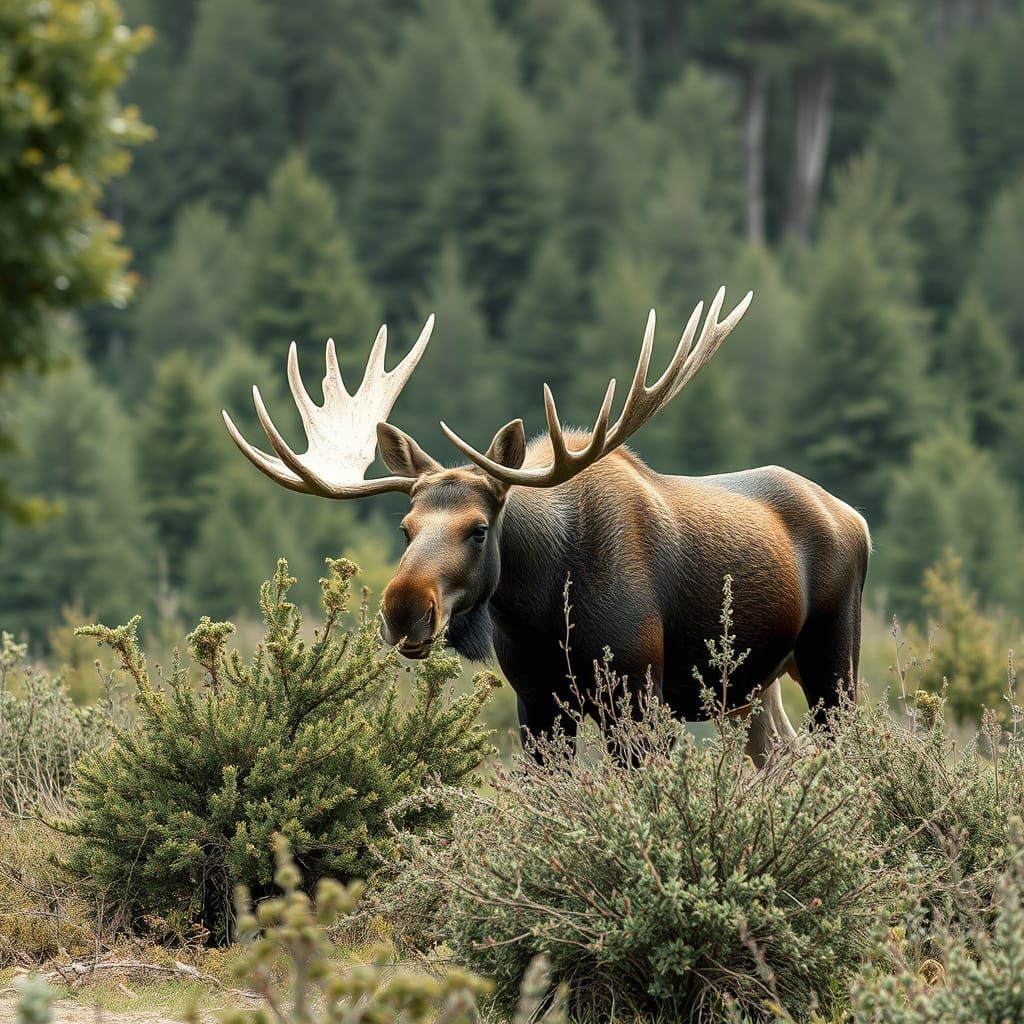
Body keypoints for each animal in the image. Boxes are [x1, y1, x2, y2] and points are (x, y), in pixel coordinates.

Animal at [223, 288, 871, 763]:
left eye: (479, 528)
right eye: (405, 527)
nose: (405, 610)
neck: (541, 605)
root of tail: (858, 518)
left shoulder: (639, 696)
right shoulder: (536, 701)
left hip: (832, 656)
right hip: (756, 685)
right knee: (783, 756)